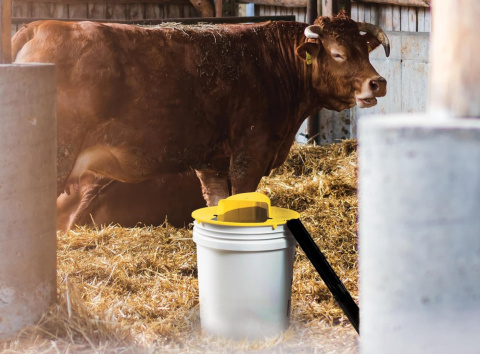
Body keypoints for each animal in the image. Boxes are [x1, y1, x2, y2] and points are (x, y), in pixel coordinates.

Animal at [13, 12, 390, 230]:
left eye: (365, 50)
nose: (378, 83)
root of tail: (41, 27)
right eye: (338, 53)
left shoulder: (212, 162)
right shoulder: (249, 154)